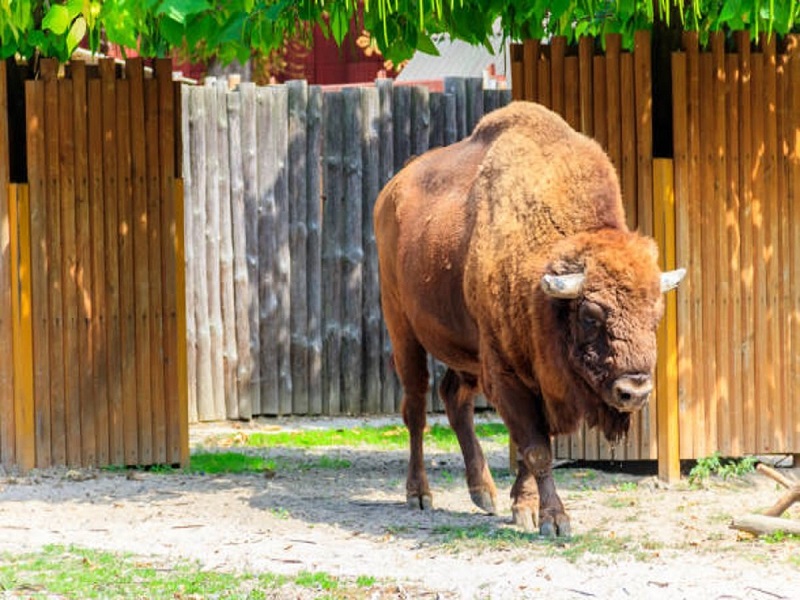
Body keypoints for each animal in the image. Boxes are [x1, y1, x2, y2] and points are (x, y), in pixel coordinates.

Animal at [372, 101, 684, 536]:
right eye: (590, 315)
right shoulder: (507, 375)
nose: (634, 391)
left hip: (467, 351)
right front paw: (553, 519)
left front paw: (525, 506)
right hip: (402, 326)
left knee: (454, 398)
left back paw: (483, 493)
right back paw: (419, 494)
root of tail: (390, 191)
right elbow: (536, 448)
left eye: (656, 314)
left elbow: (528, 446)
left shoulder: (541, 382)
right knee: (416, 406)